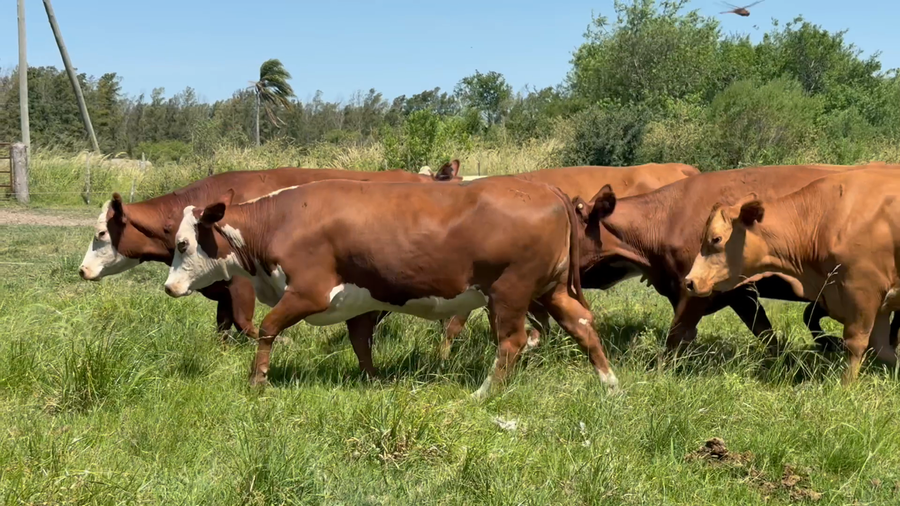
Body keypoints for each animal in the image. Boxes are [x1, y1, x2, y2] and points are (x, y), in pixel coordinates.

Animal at [78, 162, 463, 339]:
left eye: (101, 232)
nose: (82, 270)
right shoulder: (222, 291)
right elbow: (223, 327)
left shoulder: (240, 285)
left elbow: (245, 322)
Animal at [161, 177, 620, 397]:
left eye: (182, 244)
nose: (168, 287)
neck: (279, 221)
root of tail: (545, 187)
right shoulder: (361, 301)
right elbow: (361, 342)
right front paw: (373, 381)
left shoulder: (308, 291)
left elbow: (268, 329)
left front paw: (258, 381)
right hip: (550, 288)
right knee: (582, 324)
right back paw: (609, 384)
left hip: (509, 292)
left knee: (512, 342)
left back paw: (483, 394)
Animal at [684, 168, 900, 383]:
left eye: (716, 239)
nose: (690, 281)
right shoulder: (873, 303)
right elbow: (884, 350)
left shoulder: (862, 292)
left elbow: (856, 343)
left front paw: (845, 385)